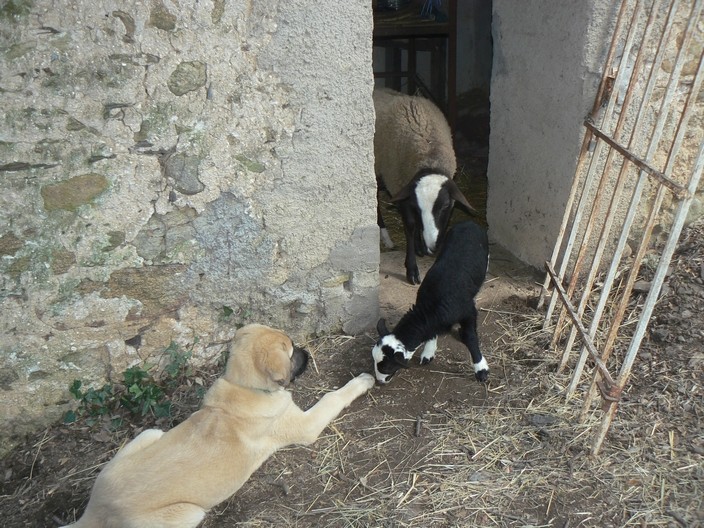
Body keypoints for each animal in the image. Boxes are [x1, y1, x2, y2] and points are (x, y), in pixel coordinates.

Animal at [372, 87, 476, 284]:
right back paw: (386, 236)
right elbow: (411, 226)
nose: (432, 246)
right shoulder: (401, 189)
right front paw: (412, 269)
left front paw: (422, 248)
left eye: (445, 206)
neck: (428, 156)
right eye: (417, 207)